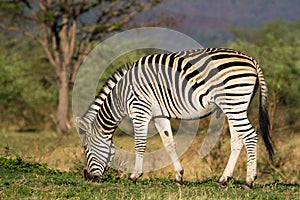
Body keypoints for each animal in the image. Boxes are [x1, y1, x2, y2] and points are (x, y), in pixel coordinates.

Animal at [77, 47, 274, 188]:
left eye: (86, 148)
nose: (87, 178)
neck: (122, 95)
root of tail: (251, 60)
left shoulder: (140, 111)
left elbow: (139, 144)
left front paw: (135, 175)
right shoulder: (159, 115)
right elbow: (168, 143)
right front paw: (179, 177)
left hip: (234, 102)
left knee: (250, 136)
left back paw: (249, 181)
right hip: (236, 106)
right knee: (237, 141)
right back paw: (223, 180)